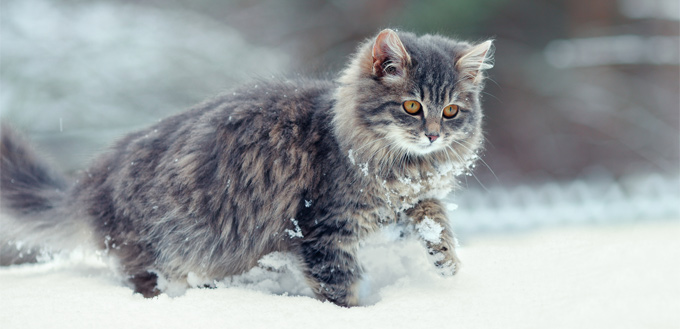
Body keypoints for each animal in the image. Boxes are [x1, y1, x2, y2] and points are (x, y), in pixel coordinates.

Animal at [0, 29, 492, 306]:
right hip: (157, 250)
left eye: (450, 111)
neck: (399, 168)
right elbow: (342, 288)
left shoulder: (404, 203)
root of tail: (91, 181)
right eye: (412, 106)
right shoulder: (323, 230)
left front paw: (446, 259)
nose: (433, 135)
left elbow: (433, 214)